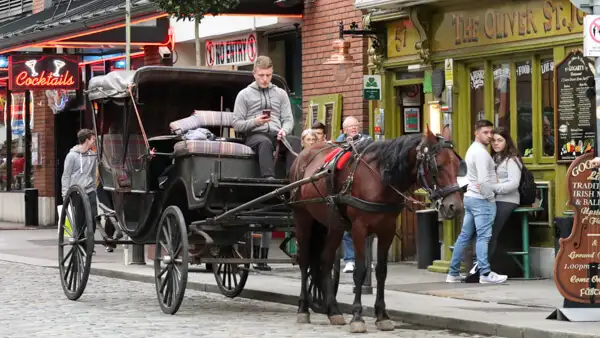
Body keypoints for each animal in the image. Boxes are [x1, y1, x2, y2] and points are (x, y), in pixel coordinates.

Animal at [290, 127, 464, 332]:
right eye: (438, 166)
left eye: (458, 165)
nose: (455, 207)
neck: (380, 178)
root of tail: (304, 153)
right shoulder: (358, 229)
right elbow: (360, 271)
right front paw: (357, 316)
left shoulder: (387, 229)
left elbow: (381, 271)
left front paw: (382, 315)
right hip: (303, 217)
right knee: (304, 260)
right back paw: (303, 309)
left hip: (333, 224)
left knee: (325, 261)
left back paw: (333, 311)